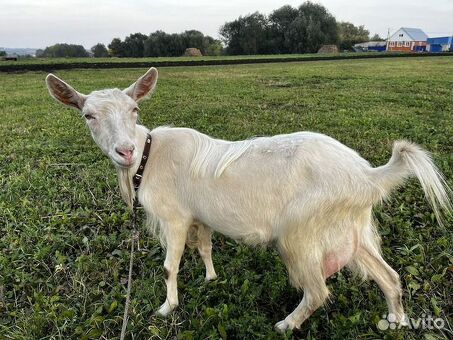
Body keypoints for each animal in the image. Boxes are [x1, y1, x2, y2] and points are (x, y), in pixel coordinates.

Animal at [45, 66, 448, 332]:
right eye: (88, 115)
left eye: (135, 110)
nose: (125, 151)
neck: (149, 156)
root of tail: (367, 175)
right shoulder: (201, 217)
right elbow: (205, 247)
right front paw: (210, 279)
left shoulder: (175, 218)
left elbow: (169, 267)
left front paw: (166, 308)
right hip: (353, 229)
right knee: (389, 276)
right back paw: (396, 319)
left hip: (300, 232)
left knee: (318, 291)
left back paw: (286, 325)